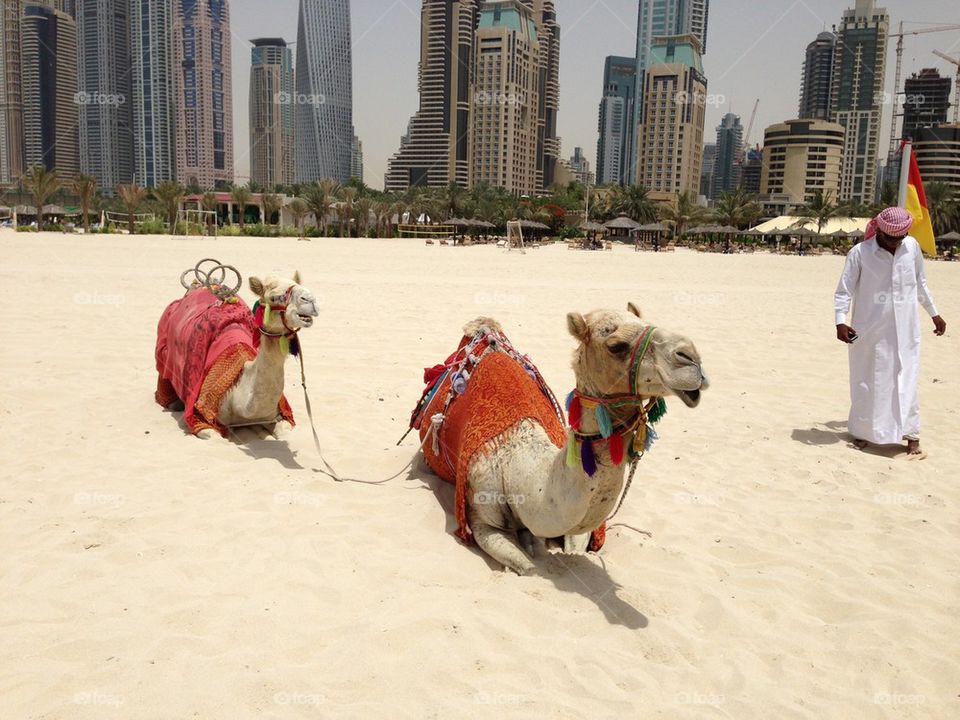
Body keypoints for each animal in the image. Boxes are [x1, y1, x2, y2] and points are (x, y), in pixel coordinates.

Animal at [155, 267, 318, 439]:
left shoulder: (281, 415)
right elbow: (214, 436)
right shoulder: (200, 418)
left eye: (299, 286)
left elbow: (284, 431)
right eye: (274, 297)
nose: (310, 300)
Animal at [412, 304, 707, 575]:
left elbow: (574, 549)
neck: (517, 460)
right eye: (616, 346)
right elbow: (529, 568)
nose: (691, 358)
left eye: (647, 322)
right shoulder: (483, 520)